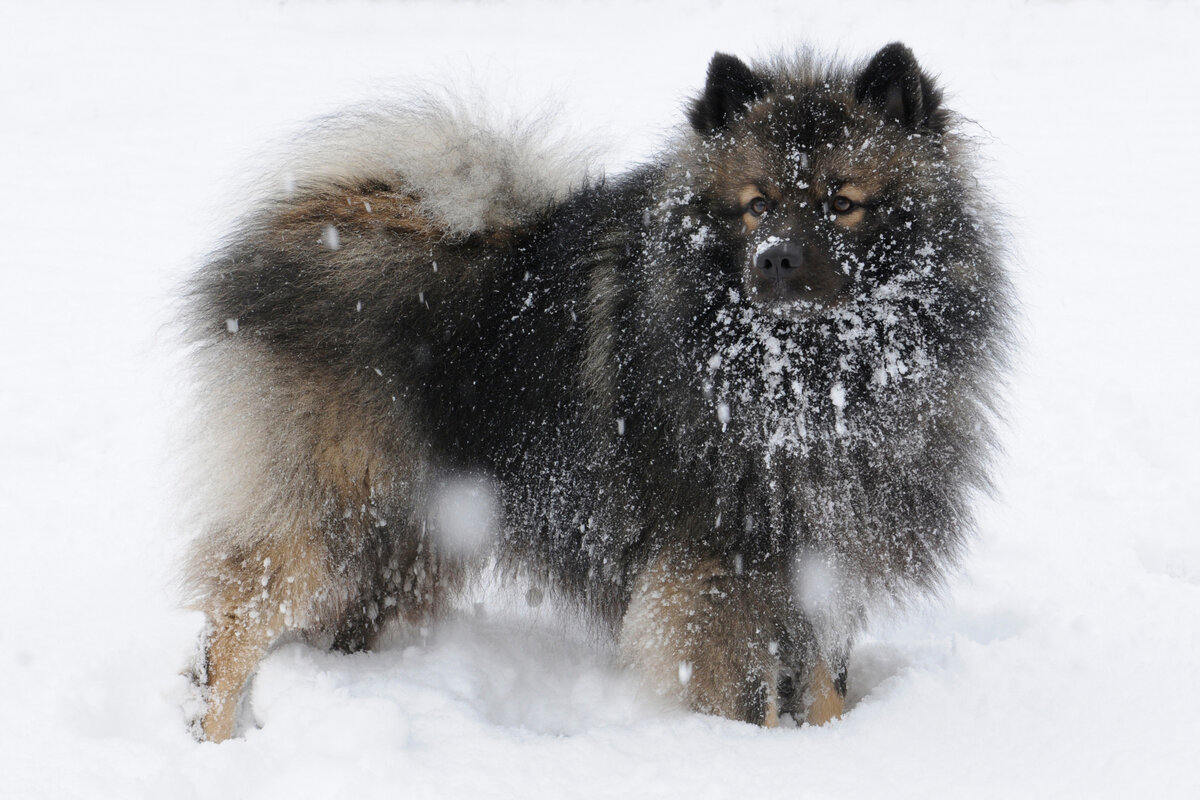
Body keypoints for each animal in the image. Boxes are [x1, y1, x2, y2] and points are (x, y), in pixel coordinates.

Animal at [182, 43, 1012, 743]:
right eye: (757, 205)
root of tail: (339, 210)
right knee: (232, 628)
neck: (808, 380)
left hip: (408, 537)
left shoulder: (826, 559)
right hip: (327, 513)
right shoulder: (721, 576)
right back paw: (215, 739)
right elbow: (750, 698)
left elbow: (826, 683)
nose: (775, 259)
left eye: (842, 202)